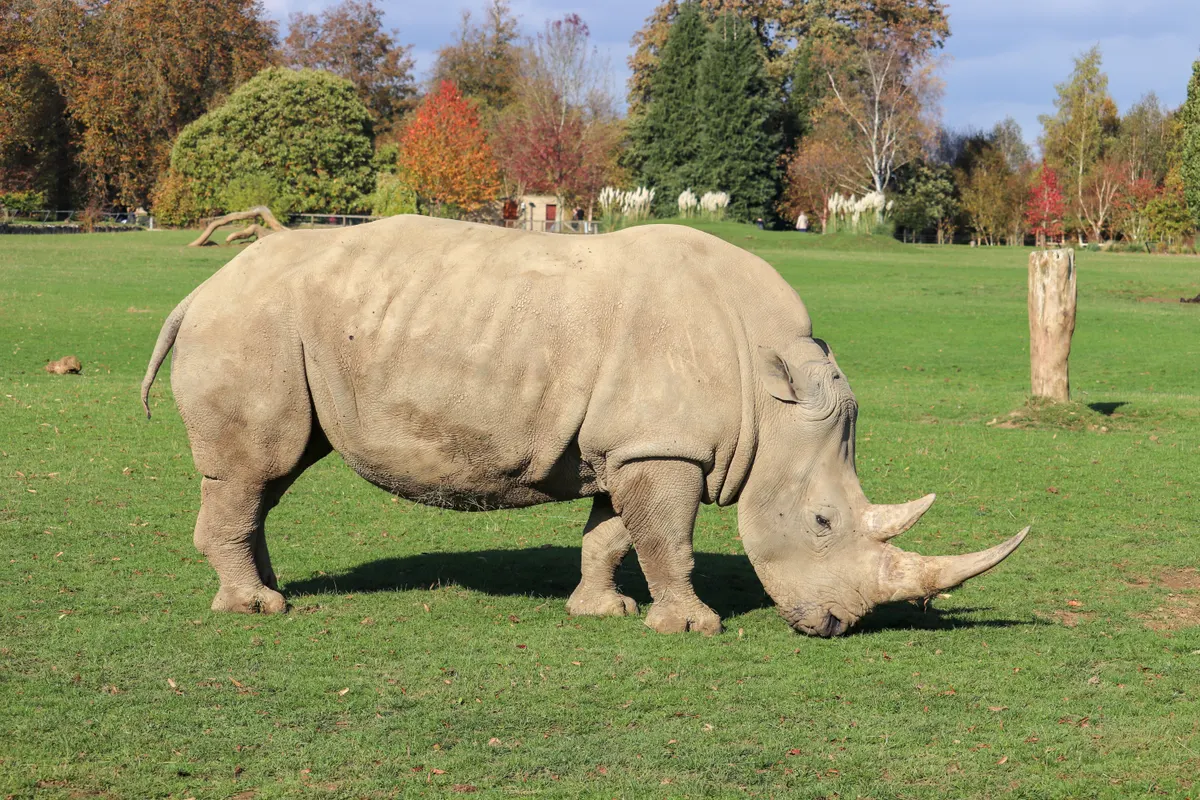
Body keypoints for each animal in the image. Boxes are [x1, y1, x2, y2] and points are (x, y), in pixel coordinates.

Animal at [142, 216, 1027, 636]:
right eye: (819, 523)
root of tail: (196, 293)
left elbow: (612, 536)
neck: (768, 389)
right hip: (250, 324)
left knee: (267, 474)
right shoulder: (663, 447)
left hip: (277, 331)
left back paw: (267, 592)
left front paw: (604, 613)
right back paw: (256, 609)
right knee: (255, 467)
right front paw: (693, 627)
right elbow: (668, 541)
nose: (835, 627)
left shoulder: (631, 444)